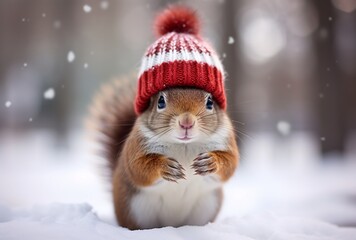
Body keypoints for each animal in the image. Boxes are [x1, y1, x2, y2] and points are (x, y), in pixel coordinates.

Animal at [88, 5, 239, 230]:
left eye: (210, 102)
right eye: (160, 101)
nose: (186, 122)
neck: (184, 146)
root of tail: (172, 225)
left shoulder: (226, 140)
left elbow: (231, 163)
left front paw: (210, 162)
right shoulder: (136, 145)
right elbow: (139, 167)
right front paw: (165, 166)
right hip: (137, 210)